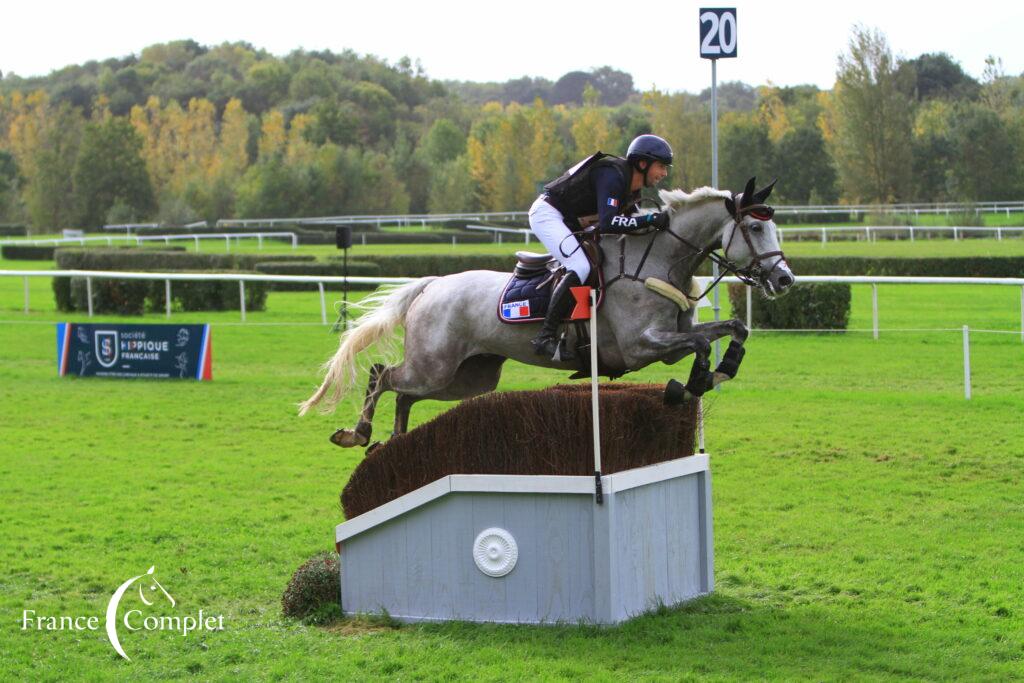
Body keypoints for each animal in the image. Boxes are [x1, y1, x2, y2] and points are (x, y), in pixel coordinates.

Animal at [299, 176, 794, 446]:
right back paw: (357, 435)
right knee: (383, 375)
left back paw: (392, 443)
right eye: (754, 228)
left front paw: (717, 372)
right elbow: (699, 346)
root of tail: (432, 286)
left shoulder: (669, 343)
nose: (785, 280)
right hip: (434, 366)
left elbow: (733, 328)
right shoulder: (642, 347)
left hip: (467, 378)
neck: (655, 259)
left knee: (404, 393)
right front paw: (689, 385)